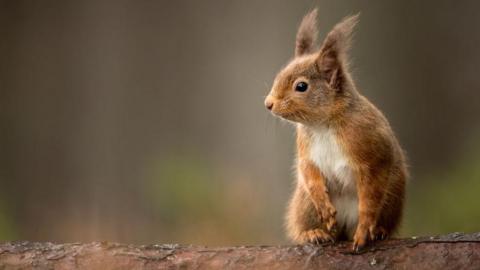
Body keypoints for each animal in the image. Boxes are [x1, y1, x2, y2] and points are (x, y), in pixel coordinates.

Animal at [264, 10, 406, 251]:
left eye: (301, 86)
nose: (268, 103)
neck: (324, 124)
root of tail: (344, 228)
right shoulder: (306, 150)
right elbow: (309, 172)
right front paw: (324, 208)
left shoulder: (372, 155)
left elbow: (370, 197)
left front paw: (365, 230)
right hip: (305, 205)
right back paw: (313, 233)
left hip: (392, 198)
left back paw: (378, 231)